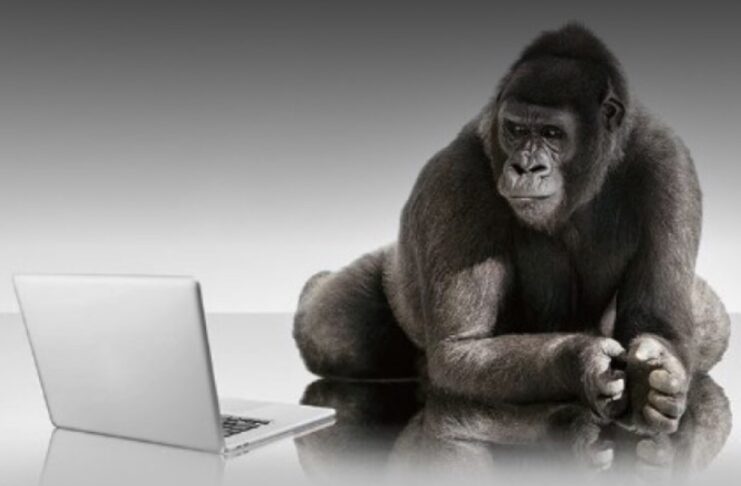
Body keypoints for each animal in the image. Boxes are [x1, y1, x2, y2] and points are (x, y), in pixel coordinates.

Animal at [292, 23, 731, 435]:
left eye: (552, 134)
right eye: (516, 129)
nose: (526, 167)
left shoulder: (669, 162)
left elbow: (658, 323)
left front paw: (656, 379)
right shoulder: (453, 178)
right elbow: (462, 350)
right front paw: (582, 361)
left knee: (711, 322)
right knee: (336, 332)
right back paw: (318, 290)